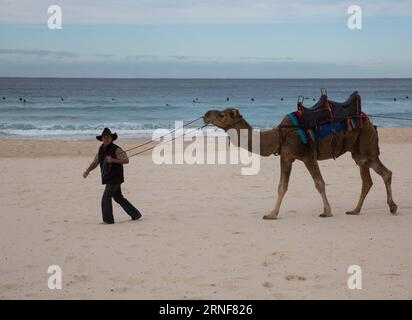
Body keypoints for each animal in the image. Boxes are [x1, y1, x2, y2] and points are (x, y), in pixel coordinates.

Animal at [204, 107, 398, 220]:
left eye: (221, 114)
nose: (205, 115)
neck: (279, 135)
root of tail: (370, 123)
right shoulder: (286, 157)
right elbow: (282, 186)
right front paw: (271, 214)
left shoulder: (307, 156)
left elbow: (319, 183)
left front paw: (327, 211)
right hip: (357, 152)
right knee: (368, 180)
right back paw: (355, 210)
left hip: (366, 145)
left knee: (385, 172)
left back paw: (392, 207)